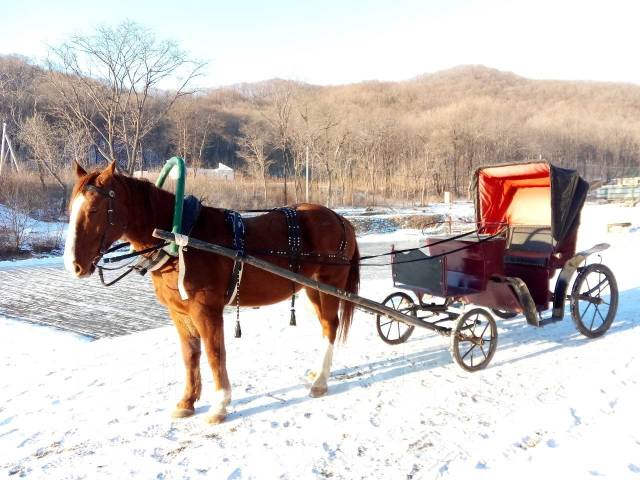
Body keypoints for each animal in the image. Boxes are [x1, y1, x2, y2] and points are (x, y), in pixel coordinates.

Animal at [63, 162, 360, 424]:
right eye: (70, 208)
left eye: (95, 209)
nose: (73, 265)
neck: (180, 238)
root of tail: (340, 219)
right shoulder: (179, 314)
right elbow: (190, 355)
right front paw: (187, 401)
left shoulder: (206, 311)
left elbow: (215, 353)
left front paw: (219, 405)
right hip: (313, 288)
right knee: (324, 326)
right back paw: (318, 371)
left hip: (330, 283)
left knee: (330, 326)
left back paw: (320, 381)